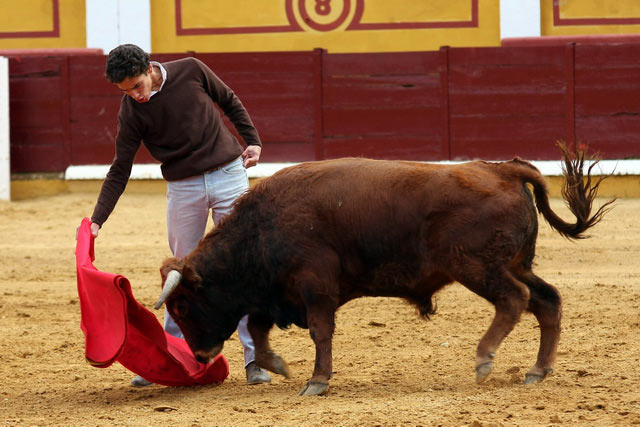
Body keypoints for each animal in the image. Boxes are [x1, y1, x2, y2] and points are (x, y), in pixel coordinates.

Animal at [155, 145, 616, 398]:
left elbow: (319, 332)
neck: (261, 226)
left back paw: (485, 358)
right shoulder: (275, 294)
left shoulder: (314, 289)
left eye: (182, 306)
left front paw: (317, 381)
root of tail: (501, 168)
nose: (201, 355)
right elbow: (258, 326)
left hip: (478, 267)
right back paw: (537, 371)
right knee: (547, 301)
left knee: (514, 299)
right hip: (516, 263)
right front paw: (281, 366)